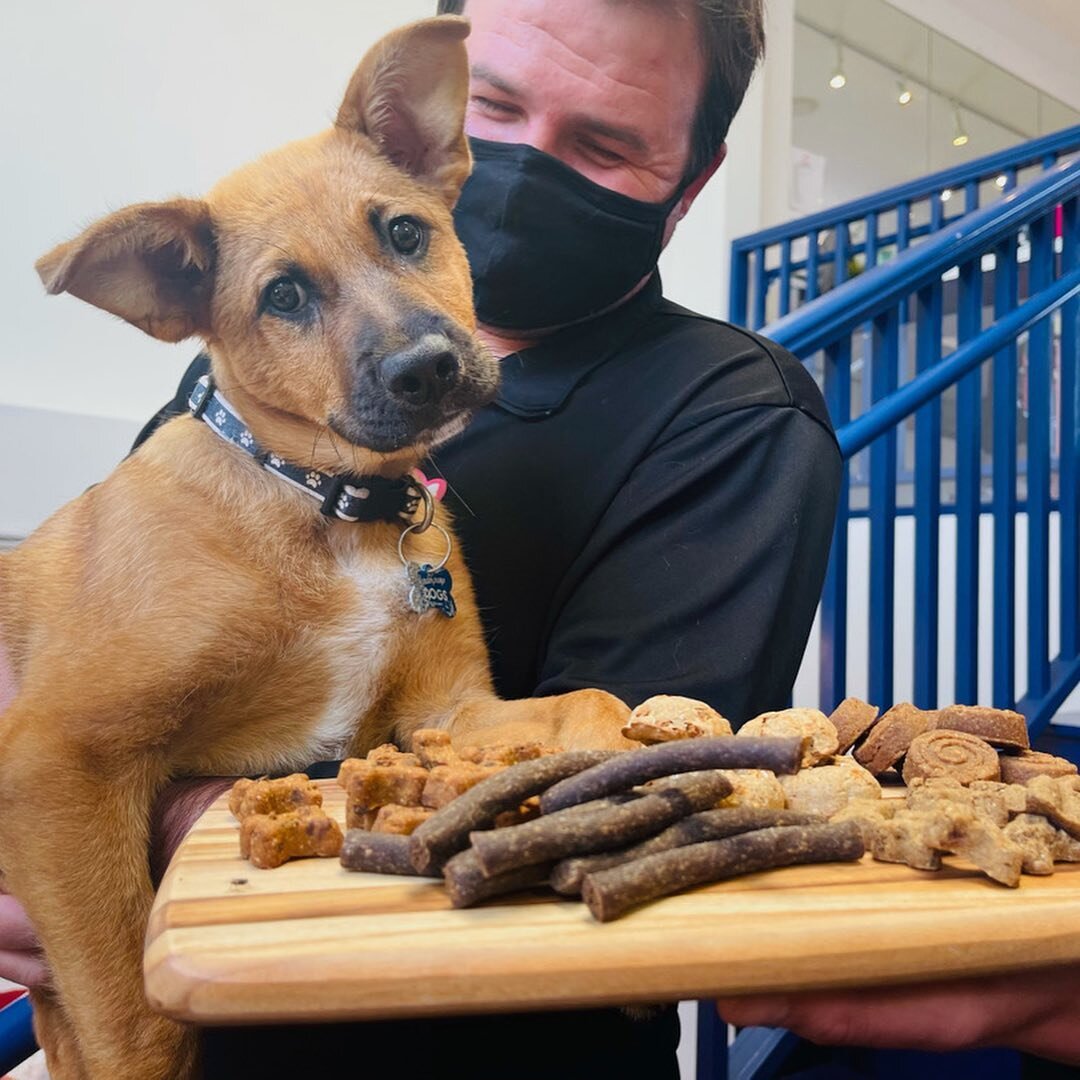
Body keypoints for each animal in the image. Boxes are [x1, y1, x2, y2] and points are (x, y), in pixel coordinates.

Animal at [0, 19, 630, 1080]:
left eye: (405, 233)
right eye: (283, 296)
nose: (428, 370)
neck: (331, 508)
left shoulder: (441, 712)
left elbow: (580, 702)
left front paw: (620, 750)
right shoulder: (58, 760)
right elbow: (134, 1014)